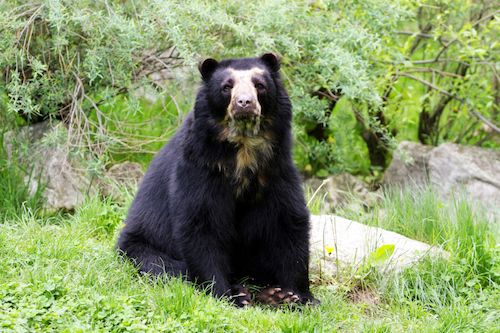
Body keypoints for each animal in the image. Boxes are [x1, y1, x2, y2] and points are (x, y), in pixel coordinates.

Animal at [118, 52, 316, 306]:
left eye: (259, 85)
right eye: (227, 87)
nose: (244, 103)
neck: (243, 148)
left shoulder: (275, 168)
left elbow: (287, 222)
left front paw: (295, 295)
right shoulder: (199, 167)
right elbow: (201, 223)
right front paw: (227, 295)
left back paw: (270, 294)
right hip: (141, 246)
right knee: (164, 266)